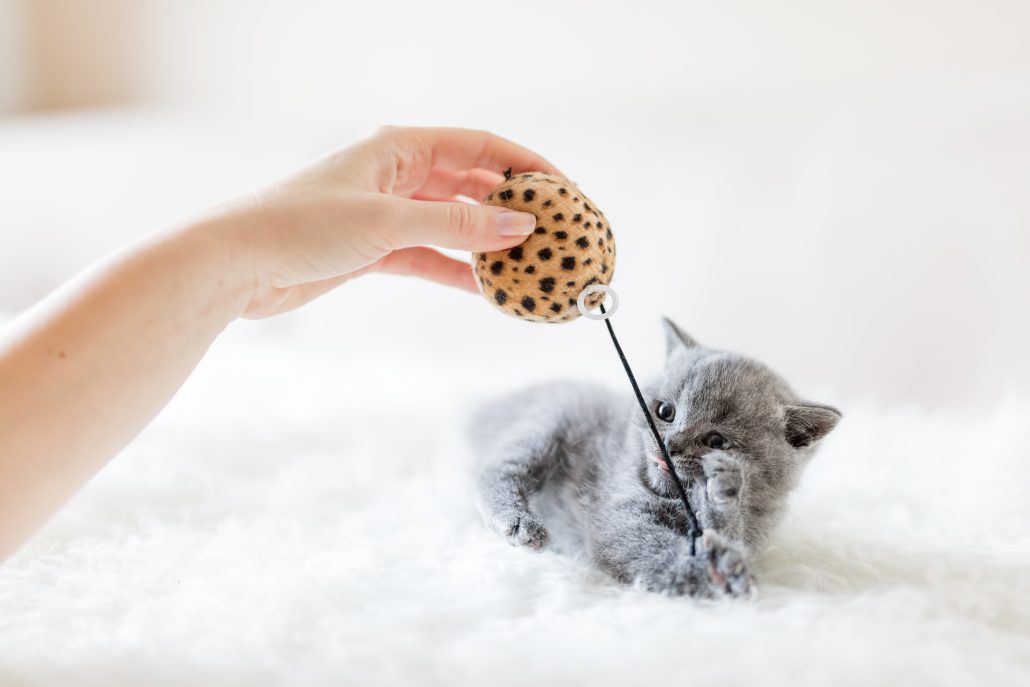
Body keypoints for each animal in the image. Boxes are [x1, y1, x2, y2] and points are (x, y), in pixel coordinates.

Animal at [471, 319, 840, 597]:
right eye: (666, 412)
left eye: (716, 441)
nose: (670, 444)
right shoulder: (620, 511)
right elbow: (648, 545)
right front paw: (710, 573)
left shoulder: (754, 533)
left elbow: (723, 534)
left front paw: (723, 497)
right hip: (550, 421)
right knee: (499, 469)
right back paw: (519, 523)